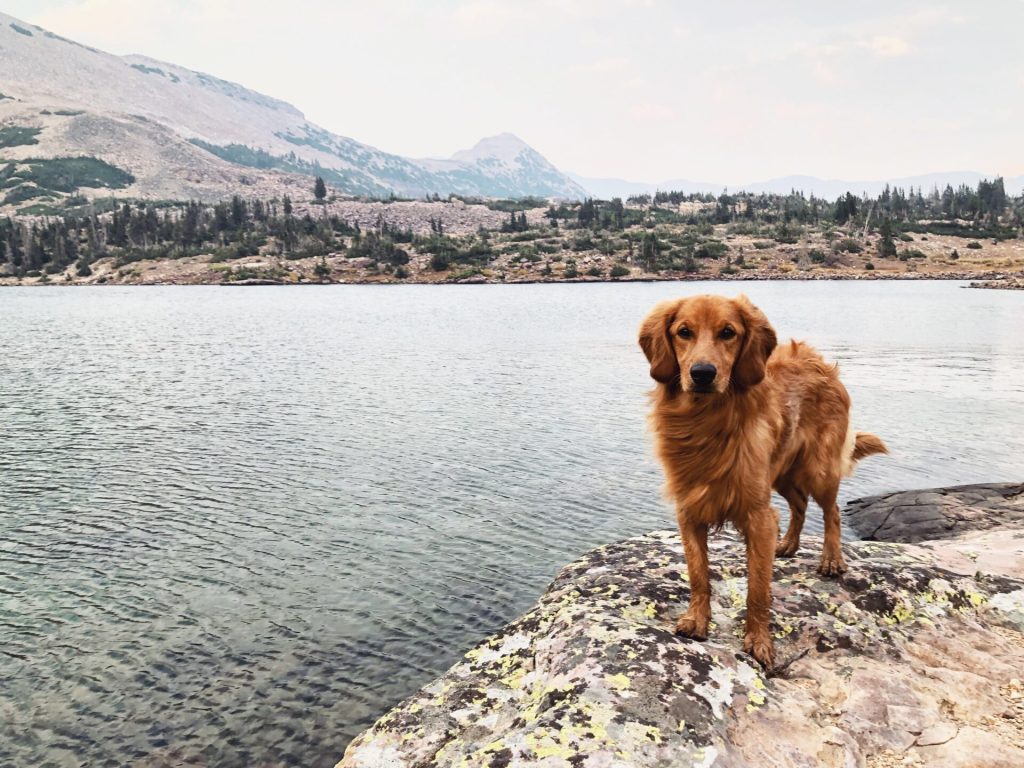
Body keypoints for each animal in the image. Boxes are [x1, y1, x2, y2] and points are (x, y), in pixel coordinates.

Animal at [638, 294, 888, 667]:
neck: (707, 422)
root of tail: (818, 361)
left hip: (818, 469)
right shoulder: (690, 511)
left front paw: (759, 641)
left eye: (728, 332)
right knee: (799, 505)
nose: (702, 373)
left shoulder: (757, 515)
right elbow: (698, 575)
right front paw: (697, 619)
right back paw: (788, 544)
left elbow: (758, 588)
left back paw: (831, 559)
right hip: (782, 472)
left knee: (832, 512)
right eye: (683, 332)